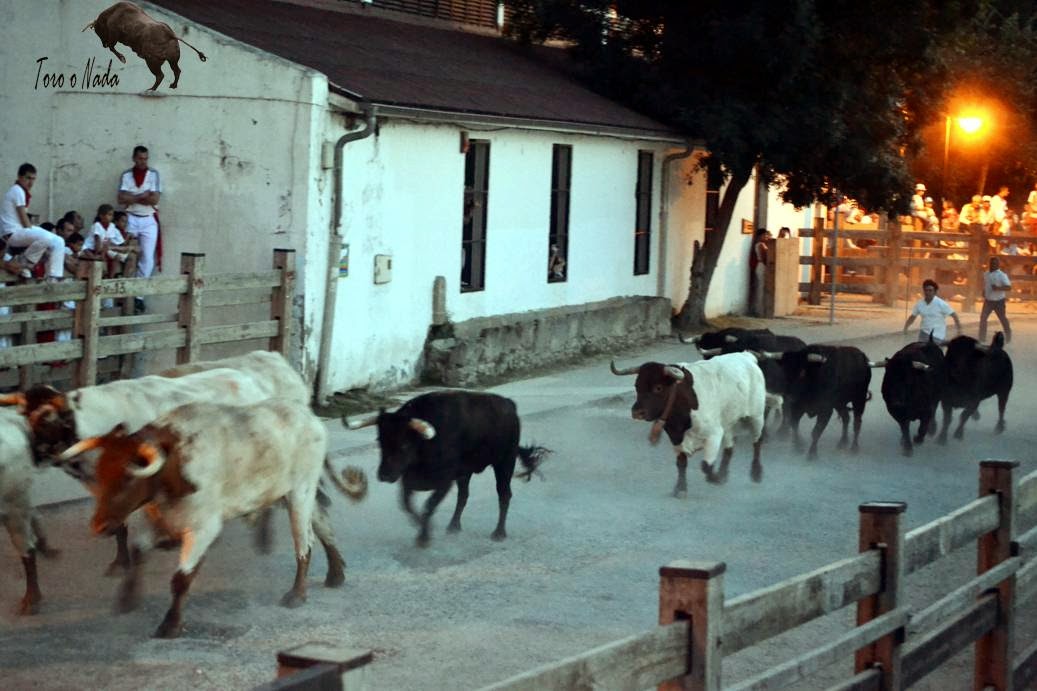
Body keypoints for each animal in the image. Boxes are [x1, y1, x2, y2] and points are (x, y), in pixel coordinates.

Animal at [59, 399, 367, 638]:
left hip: (300, 492)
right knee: (323, 525)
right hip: (294, 493)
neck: (174, 464)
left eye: (127, 479)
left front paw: (170, 625)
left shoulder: (203, 529)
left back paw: (297, 594)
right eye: (100, 473)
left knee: (304, 543)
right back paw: (336, 573)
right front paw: (127, 599)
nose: (98, 526)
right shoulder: (159, 521)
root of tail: (309, 416)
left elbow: (181, 579)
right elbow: (138, 551)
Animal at [345, 391, 549, 548]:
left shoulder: (444, 482)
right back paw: (453, 526)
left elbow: (428, 506)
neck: (424, 446)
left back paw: (499, 533)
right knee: (464, 495)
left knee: (504, 494)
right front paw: (422, 529)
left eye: (404, 444)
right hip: (466, 473)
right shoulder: (408, 481)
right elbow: (407, 506)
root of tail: (509, 404)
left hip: (504, 463)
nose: (384, 475)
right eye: (380, 441)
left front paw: (423, 537)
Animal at [610, 352, 768, 497]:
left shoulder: (713, 434)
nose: (637, 412)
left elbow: (705, 465)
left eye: (658, 387)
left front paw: (714, 478)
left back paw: (756, 473)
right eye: (637, 386)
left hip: (757, 415)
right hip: (728, 420)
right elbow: (681, 463)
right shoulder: (676, 440)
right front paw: (680, 489)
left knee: (757, 441)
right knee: (730, 446)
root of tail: (746, 355)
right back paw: (723, 474)